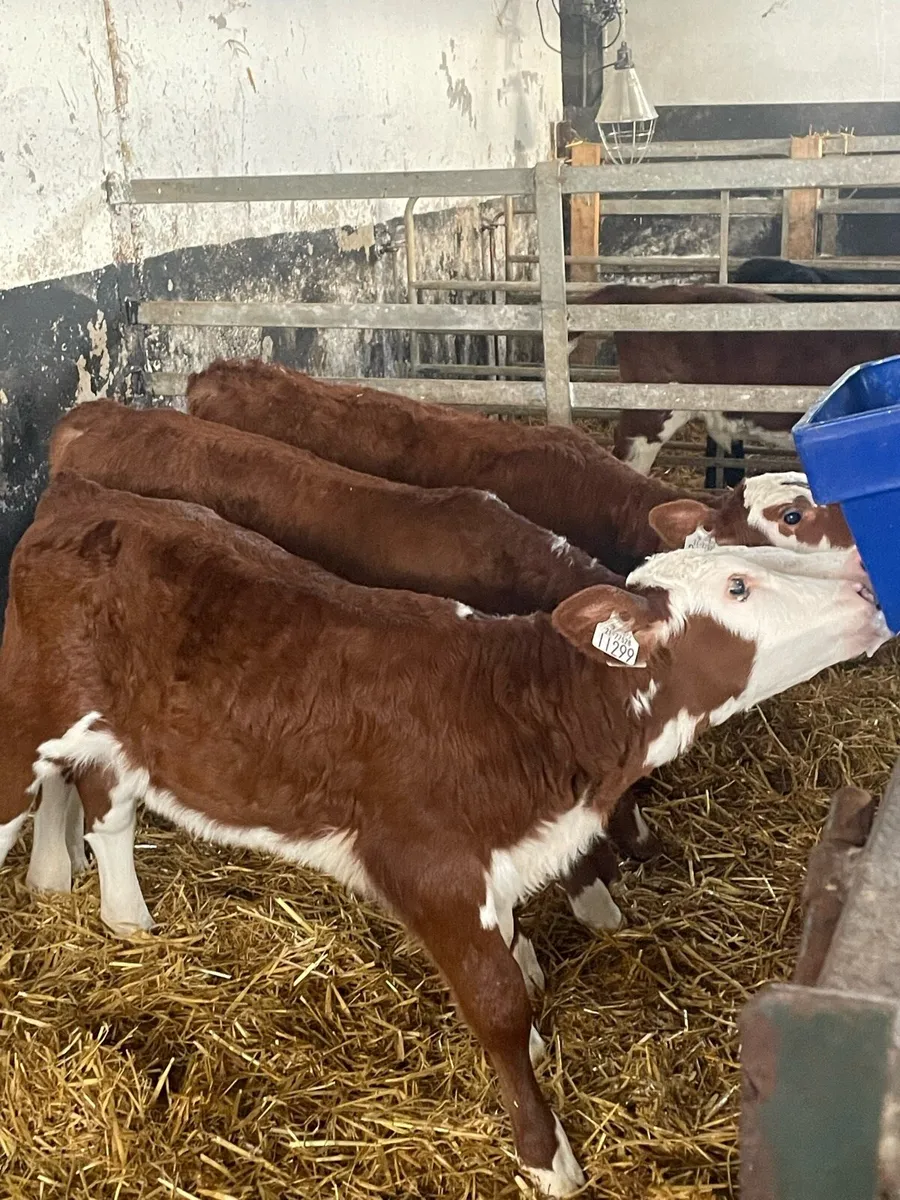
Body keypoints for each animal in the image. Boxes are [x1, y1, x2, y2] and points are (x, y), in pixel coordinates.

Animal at [0, 472, 887, 1196]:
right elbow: (496, 1006)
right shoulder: (430, 869)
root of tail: (78, 498)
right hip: (26, 715)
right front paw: (547, 1157)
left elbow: (519, 958)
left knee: (104, 807)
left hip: (118, 733)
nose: (870, 589)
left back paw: (117, 914)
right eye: (740, 584)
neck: (527, 714)